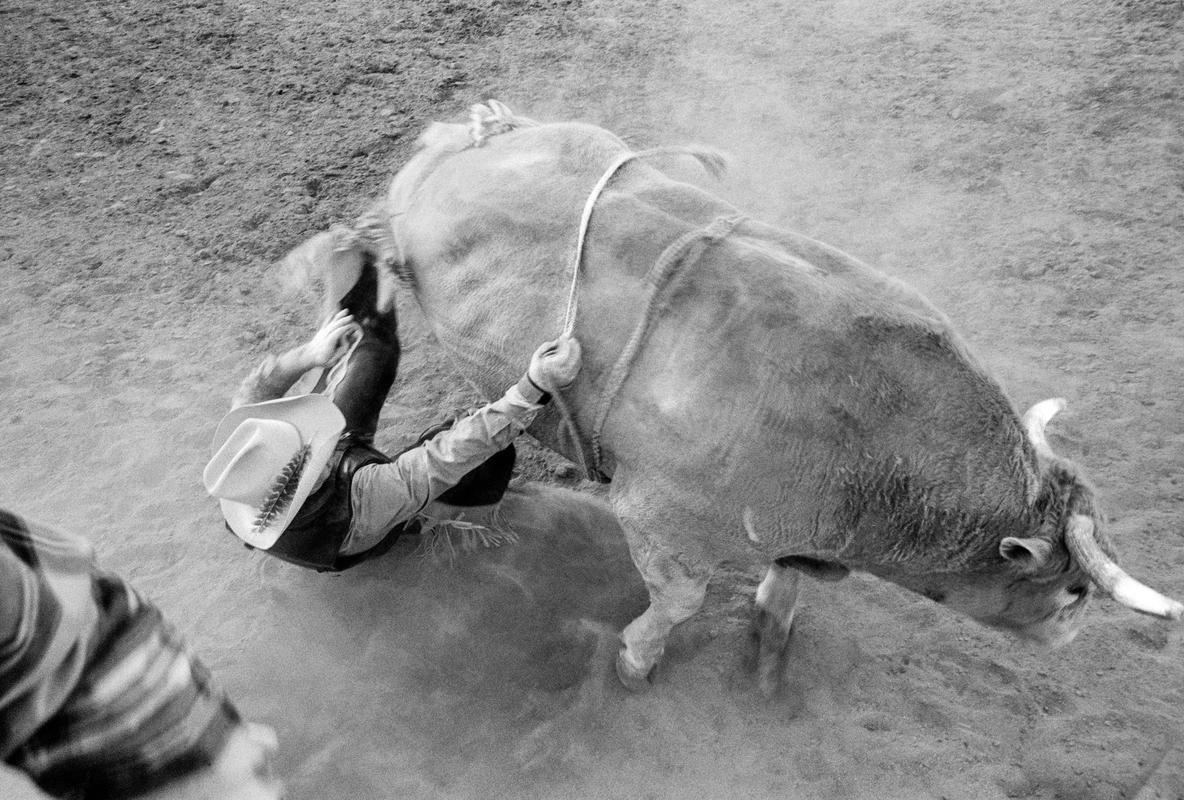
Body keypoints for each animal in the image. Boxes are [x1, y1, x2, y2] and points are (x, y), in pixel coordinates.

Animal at [286, 101, 1184, 695]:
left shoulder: (801, 534)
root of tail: (475, 137)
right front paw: (635, 659)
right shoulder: (657, 517)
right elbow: (680, 598)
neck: (870, 447)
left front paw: (767, 654)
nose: (1074, 635)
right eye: (1074, 590)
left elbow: (782, 589)